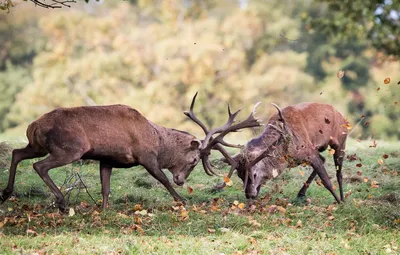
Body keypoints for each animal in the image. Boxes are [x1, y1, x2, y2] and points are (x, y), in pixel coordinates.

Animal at [0, 92, 262, 212]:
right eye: (195, 159)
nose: (182, 180)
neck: (157, 140)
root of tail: (33, 126)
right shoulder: (145, 155)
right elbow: (162, 179)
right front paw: (182, 200)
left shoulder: (106, 159)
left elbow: (105, 188)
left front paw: (104, 209)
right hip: (70, 148)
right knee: (39, 165)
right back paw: (62, 202)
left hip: (37, 145)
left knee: (17, 153)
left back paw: (6, 192)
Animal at [189, 101, 348, 203]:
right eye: (239, 175)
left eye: (253, 174)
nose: (249, 194)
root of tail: (342, 115)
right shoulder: (308, 153)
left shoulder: (309, 151)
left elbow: (326, 180)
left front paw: (339, 202)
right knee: (324, 159)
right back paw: (301, 193)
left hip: (340, 141)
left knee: (339, 172)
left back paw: (342, 198)